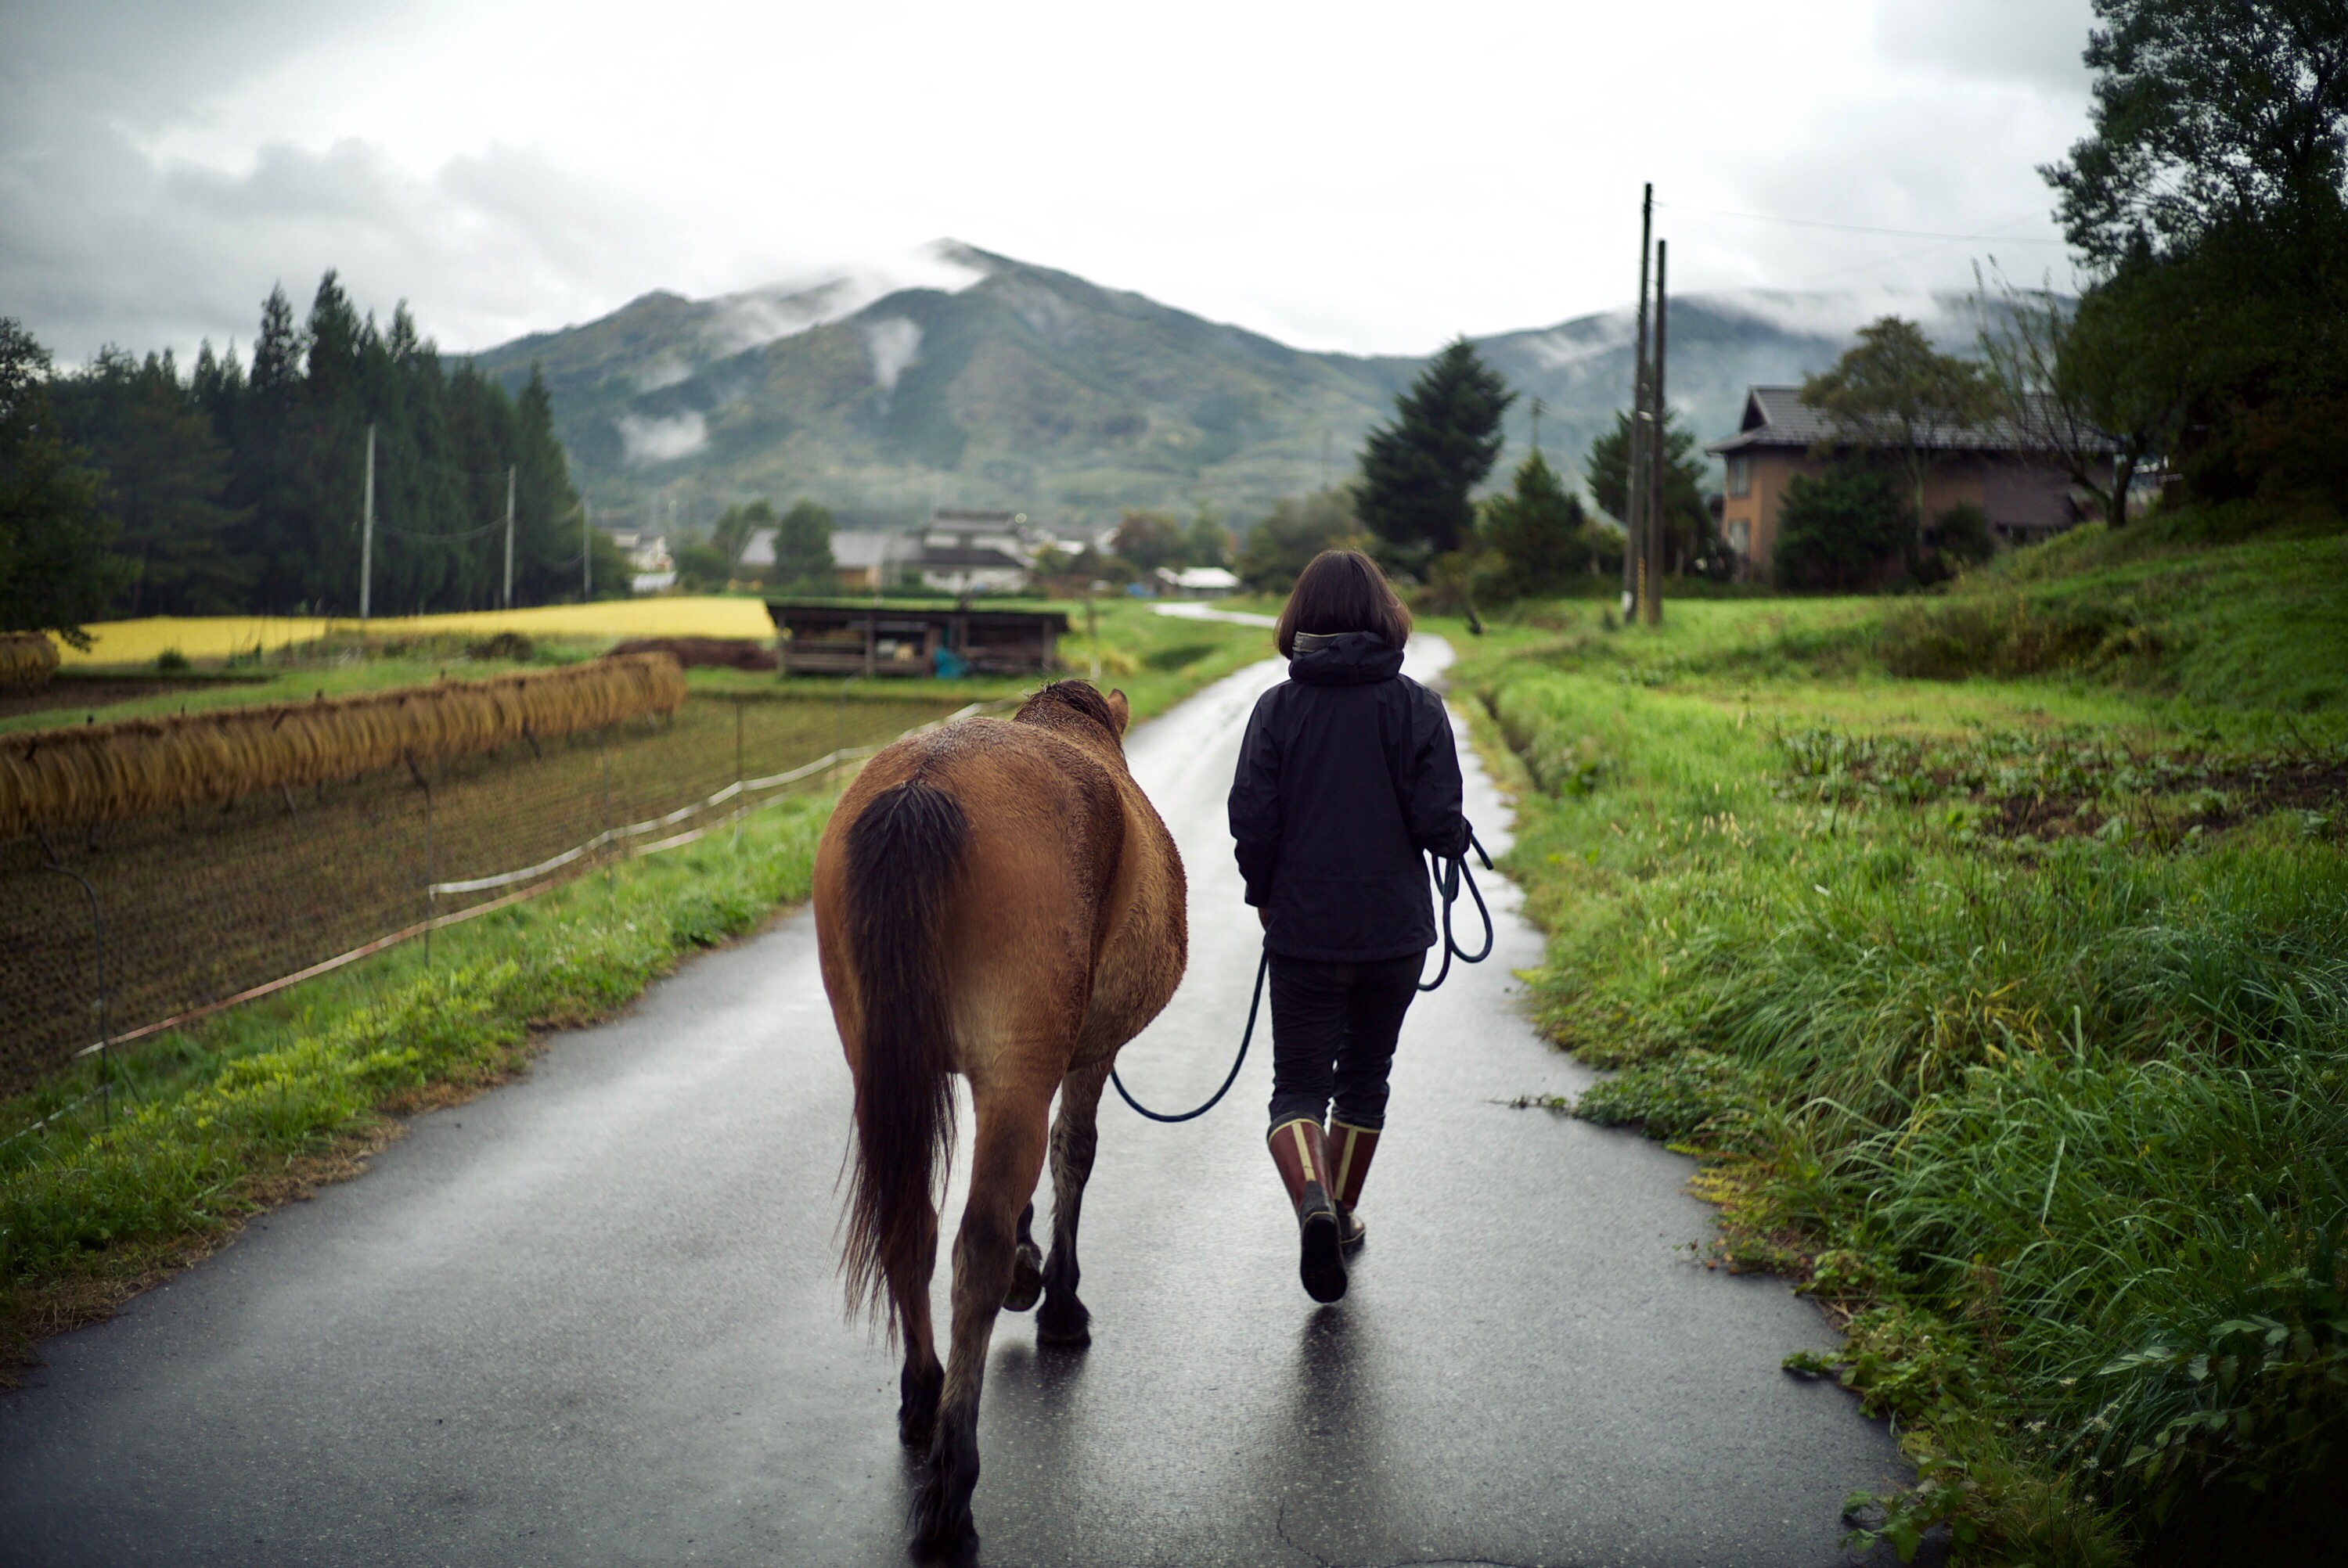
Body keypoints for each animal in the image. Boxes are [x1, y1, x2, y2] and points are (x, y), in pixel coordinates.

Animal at [812, 681, 1183, 1559]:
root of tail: (925, 783)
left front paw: (1030, 1263)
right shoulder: (1083, 1056)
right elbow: (1072, 1154)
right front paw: (1056, 1300)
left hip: (882, 1064)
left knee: (909, 1226)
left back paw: (923, 1398)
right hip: (1016, 1070)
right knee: (970, 1246)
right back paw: (952, 1493)